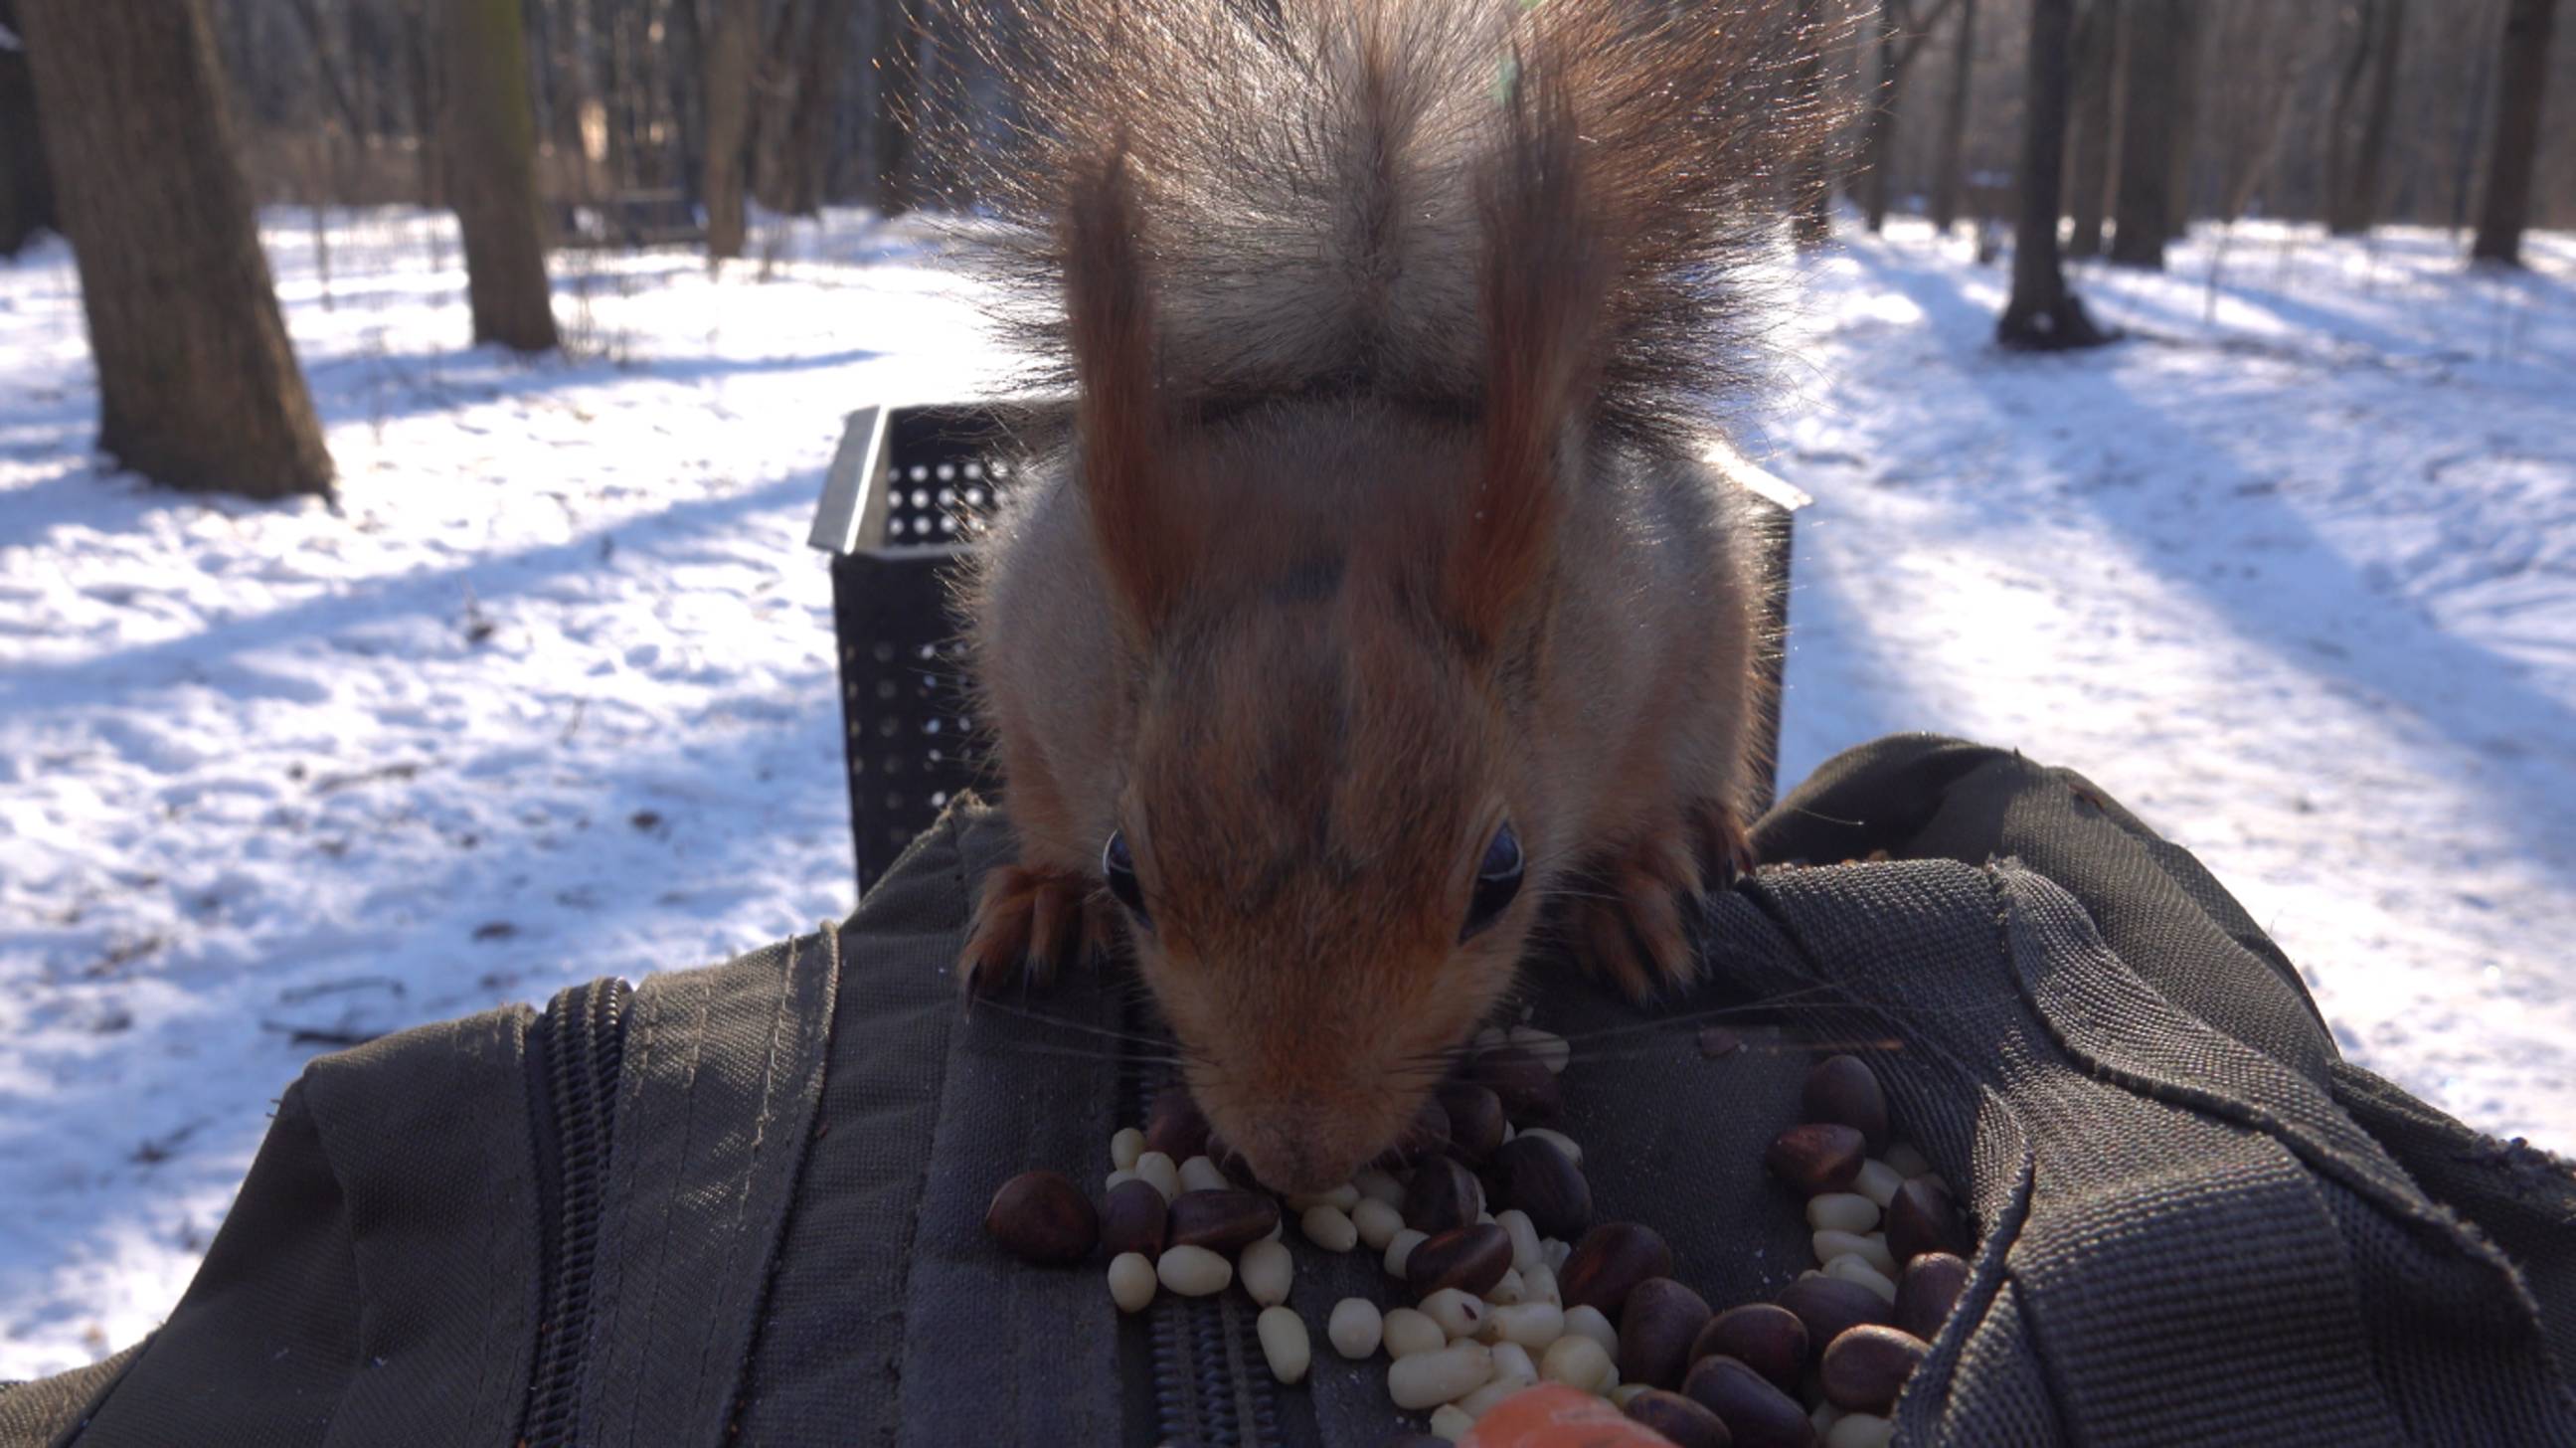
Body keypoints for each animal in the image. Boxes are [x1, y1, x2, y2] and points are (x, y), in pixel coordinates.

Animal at [952, 2, 1833, 1195]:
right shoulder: (1041, 660)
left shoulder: (1658, 628)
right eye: (1123, 868)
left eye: (1502, 876)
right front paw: (1050, 887)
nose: (1299, 1154)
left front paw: (1632, 878)